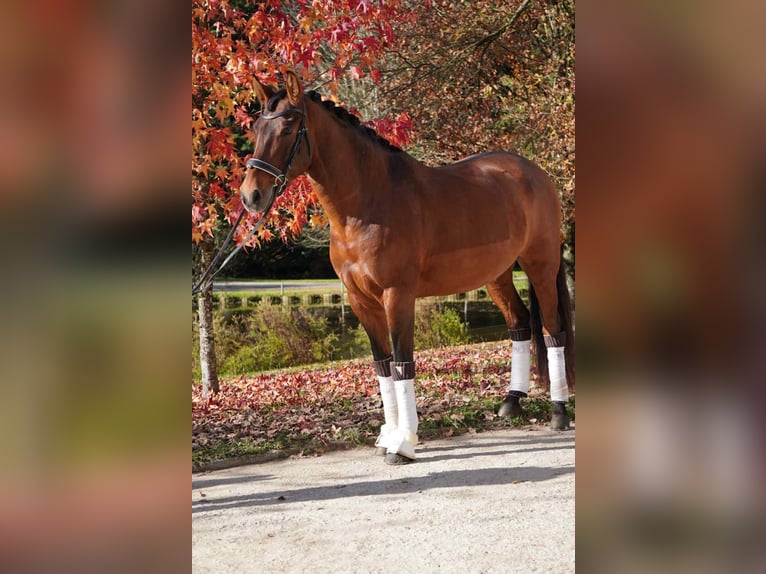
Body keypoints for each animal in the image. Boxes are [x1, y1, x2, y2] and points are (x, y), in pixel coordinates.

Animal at [240, 70, 574, 465]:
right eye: (257, 127)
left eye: (289, 128)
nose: (251, 196)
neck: (368, 202)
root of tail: (535, 173)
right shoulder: (360, 301)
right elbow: (382, 365)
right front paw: (389, 435)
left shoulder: (397, 295)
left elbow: (402, 363)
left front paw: (404, 443)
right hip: (497, 275)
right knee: (520, 323)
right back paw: (511, 402)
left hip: (540, 265)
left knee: (553, 330)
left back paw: (559, 412)